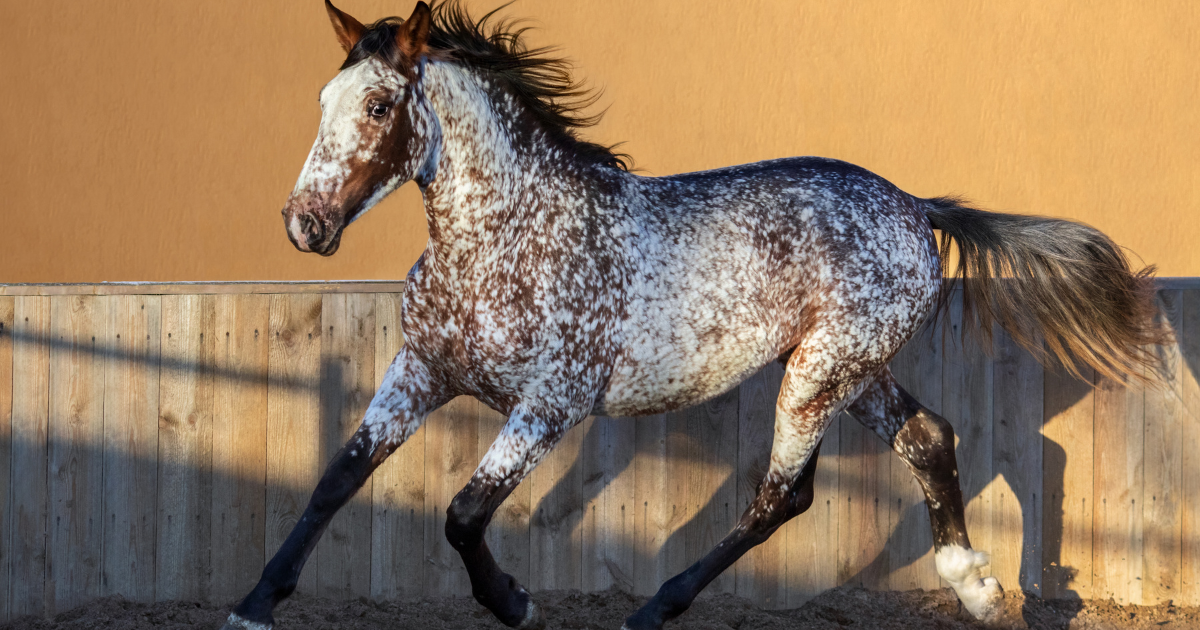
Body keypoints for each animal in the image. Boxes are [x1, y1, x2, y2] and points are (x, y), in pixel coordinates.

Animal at [222, 2, 1168, 629]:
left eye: (380, 106)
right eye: (322, 102)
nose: (304, 226)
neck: (503, 239)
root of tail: (915, 206)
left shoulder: (551, 404)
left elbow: (462, 513)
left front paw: (516, 601)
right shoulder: (421, 369)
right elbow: (339, 475)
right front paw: (254, 602)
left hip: (819, 372)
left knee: (783, 495)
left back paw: (656, 609)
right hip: (852, 368)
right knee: (928, 438)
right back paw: (977, 588)